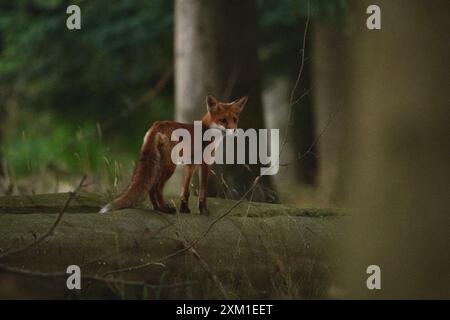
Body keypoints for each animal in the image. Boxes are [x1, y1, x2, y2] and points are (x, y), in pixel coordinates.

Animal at [100, 95, 248, 215]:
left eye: (234, 120)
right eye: (223, 120)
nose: (234, 131)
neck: (208, 131)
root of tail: (157, 125)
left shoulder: (190, 165)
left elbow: (185, 191)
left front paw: (184, 210)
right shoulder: (204, 164)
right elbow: (202, 191)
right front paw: (203, 211)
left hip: (159, 164)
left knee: (151, 188)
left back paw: (158, 208)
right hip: (170, 166)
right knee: (157, 188)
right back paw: (165, 209)